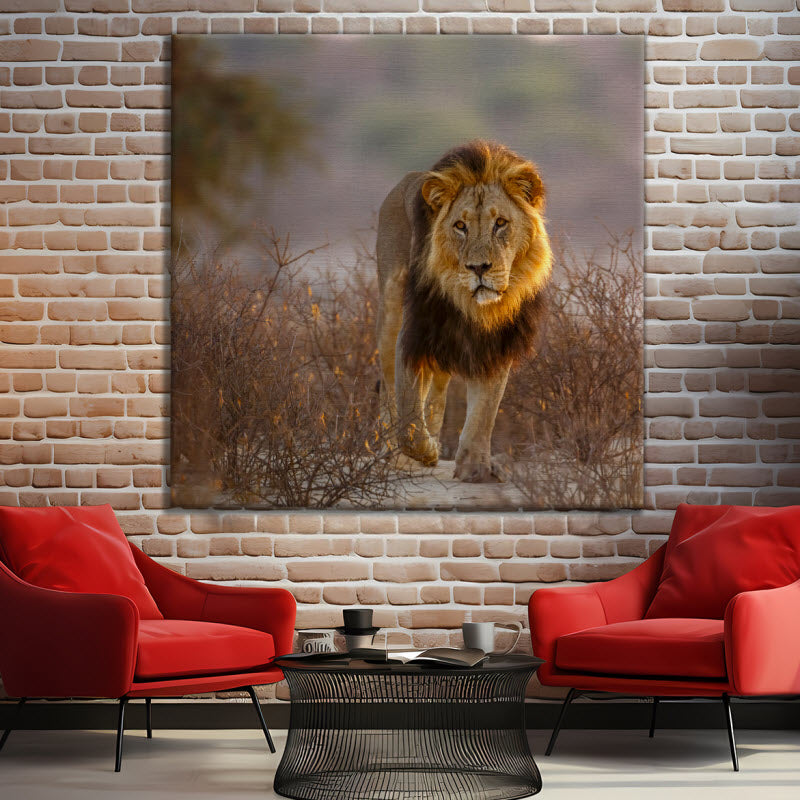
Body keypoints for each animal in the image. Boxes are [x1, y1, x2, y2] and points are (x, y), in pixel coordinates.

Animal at [376, 139, 552, 483]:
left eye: (501, 224)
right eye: (460, 226)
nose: (479, 268)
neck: (471, 306)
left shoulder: (497, 344)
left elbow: (484, 412)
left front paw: (475, 468)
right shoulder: (413, 334)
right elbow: (408, 411)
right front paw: (426, 452)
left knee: (438, 388)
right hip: (390, 311)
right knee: (389, 384)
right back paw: (393, 453)